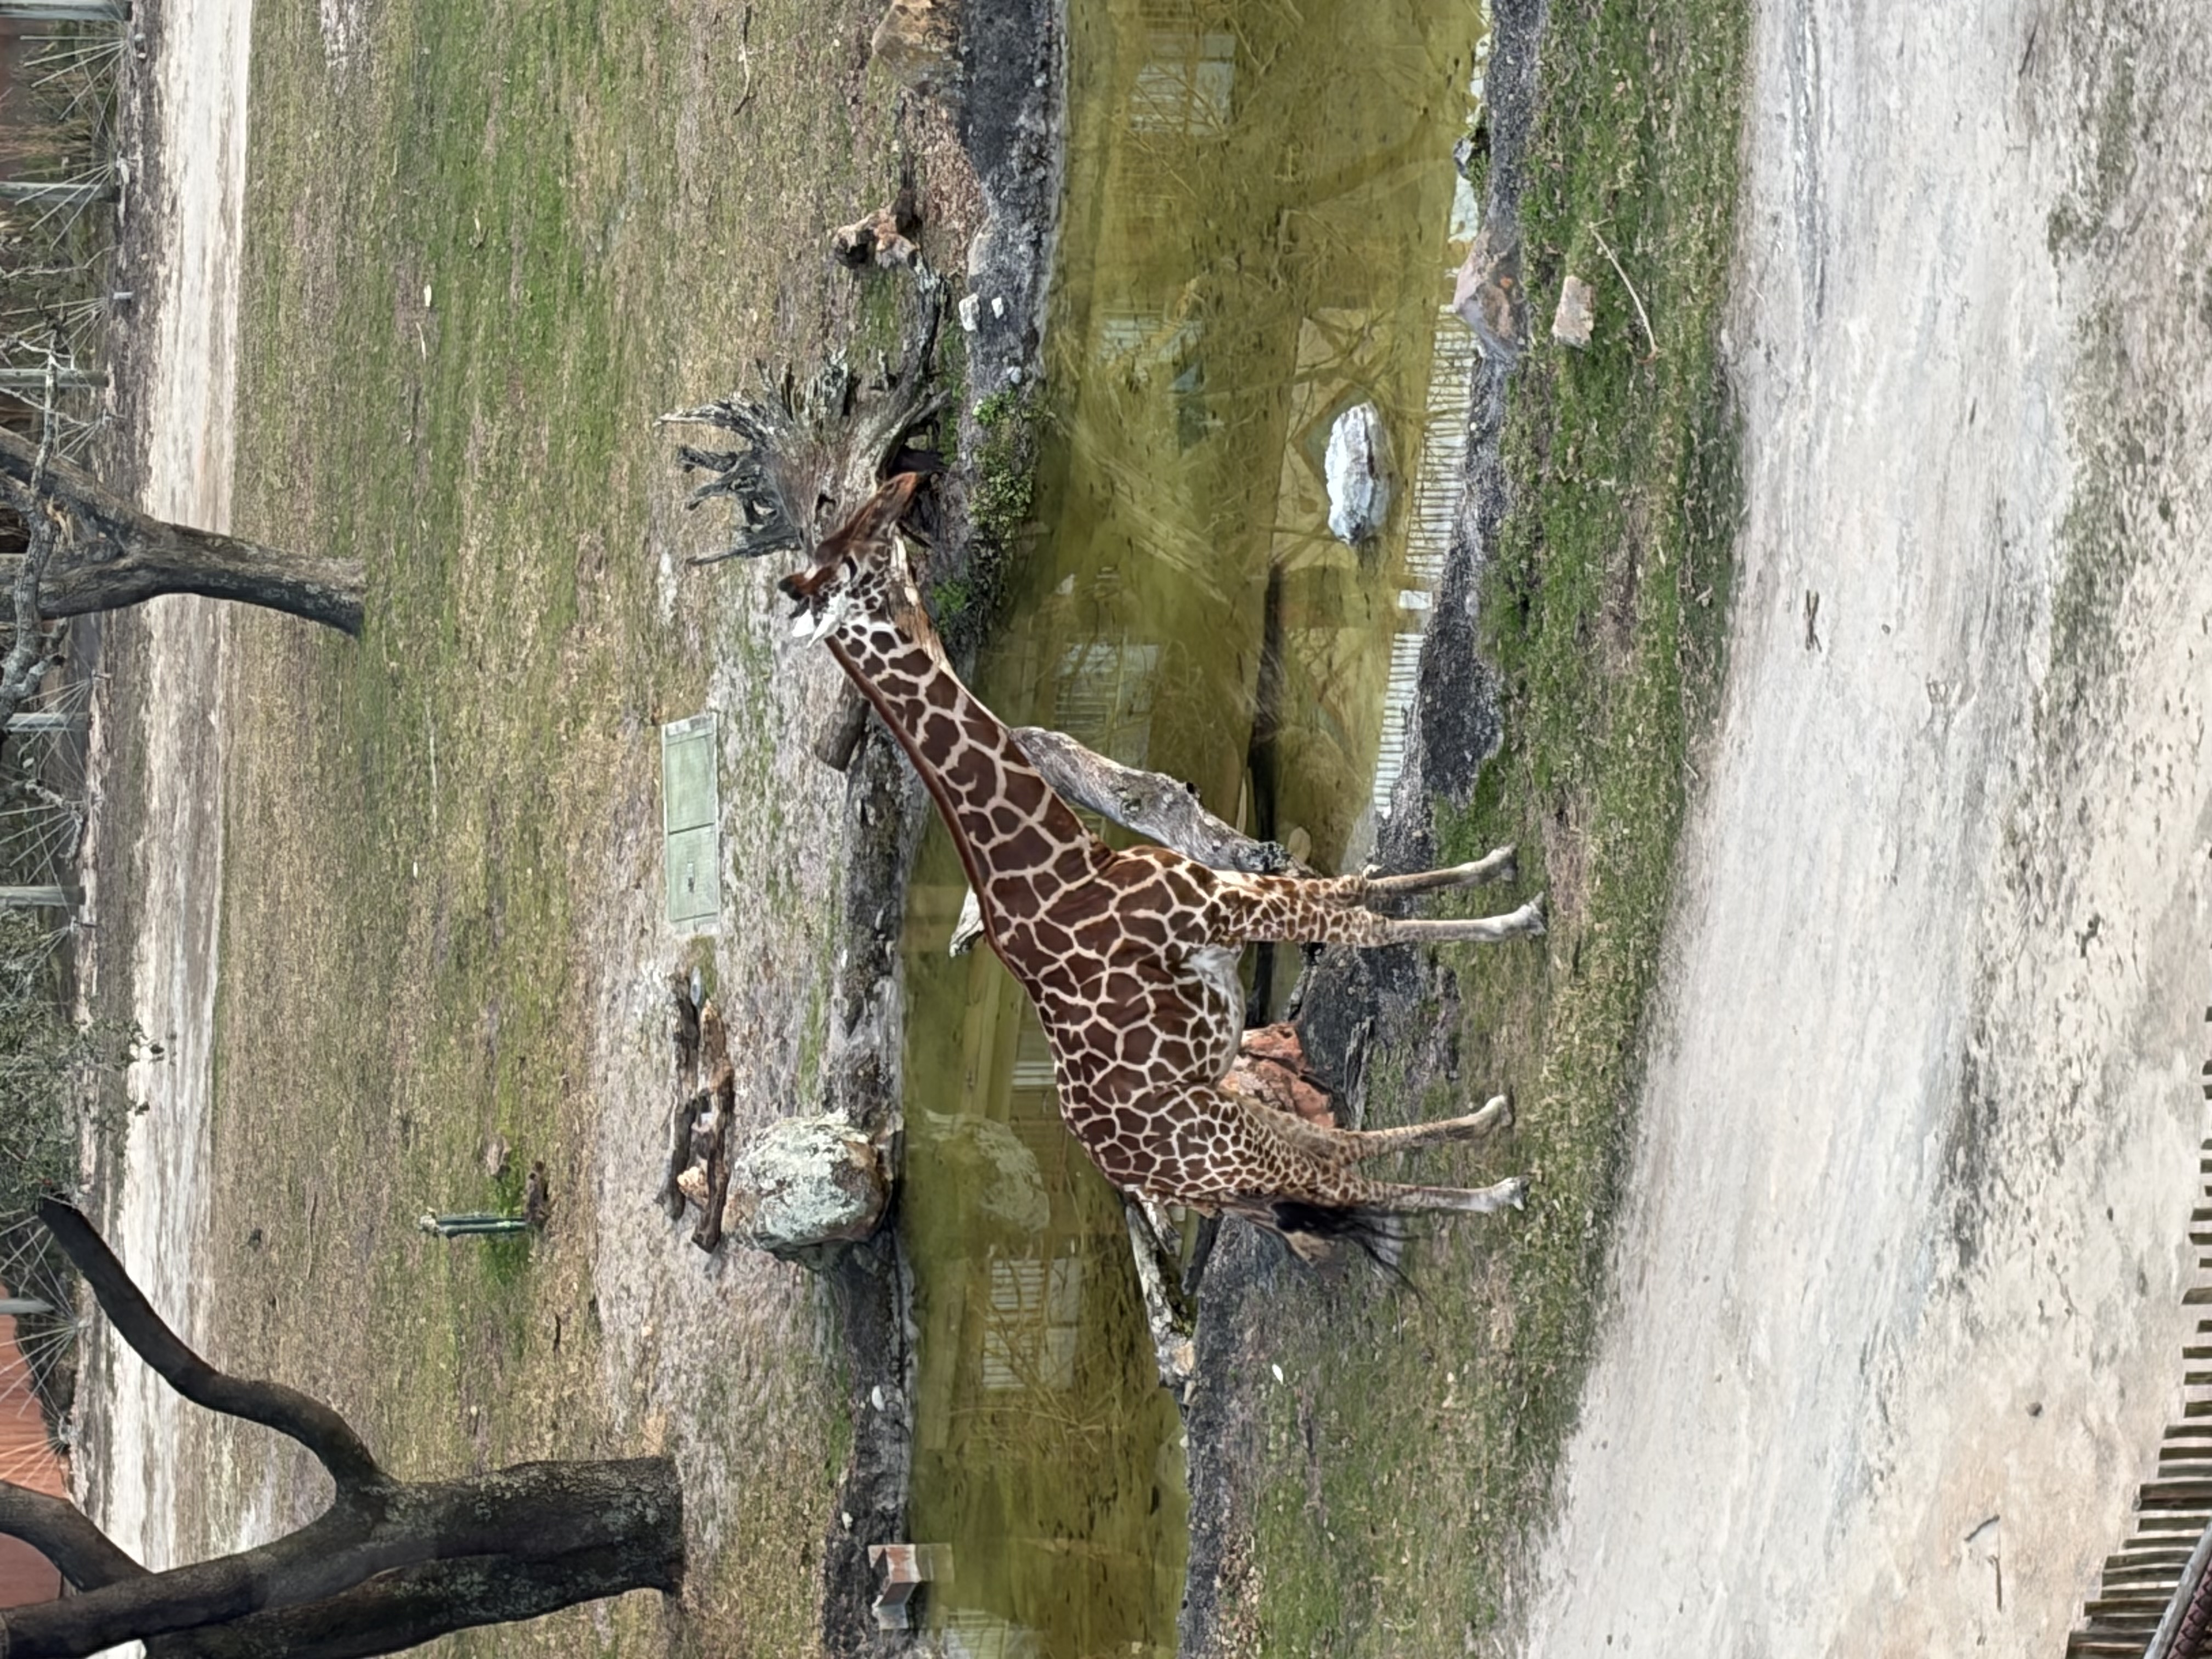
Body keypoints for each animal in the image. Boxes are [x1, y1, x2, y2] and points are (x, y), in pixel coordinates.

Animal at [780, 474, 1545, 1251]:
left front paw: (1497, 866)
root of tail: (1151, 1182)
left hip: (1231, 1118)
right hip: (1223, 1141)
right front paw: (1518, 919)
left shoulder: (1227, 893)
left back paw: (1486, 1121)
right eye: (859, 550)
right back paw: (1498, 1190)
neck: (1066, 867)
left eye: (857, 530)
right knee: (1340, 1179)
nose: (905, 484)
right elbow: (1367, 924)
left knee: (1336, 1150)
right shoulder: (1223, 909)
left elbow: (1354, 889)